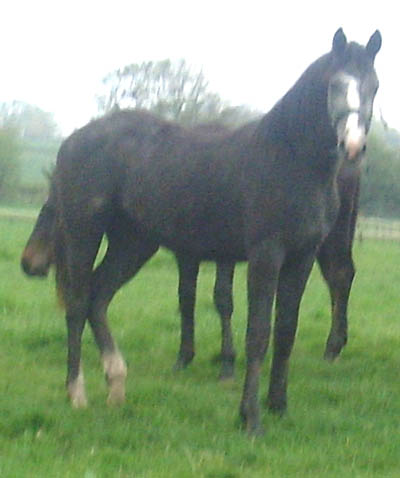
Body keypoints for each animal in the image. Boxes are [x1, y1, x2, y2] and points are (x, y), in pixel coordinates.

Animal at [21, 29, 382, 434]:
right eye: (336, 85)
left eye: (374, 86)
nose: (353, 146)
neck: (288, 158)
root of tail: (71, 140)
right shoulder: (265, 255)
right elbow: (258, 333)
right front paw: (250, 417)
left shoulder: (301, 257)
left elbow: (286, 331)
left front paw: (279, 406)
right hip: (85, 233)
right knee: (79, 302)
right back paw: (77, 392)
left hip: (133, 243)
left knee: (99, 296)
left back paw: (116, 384)